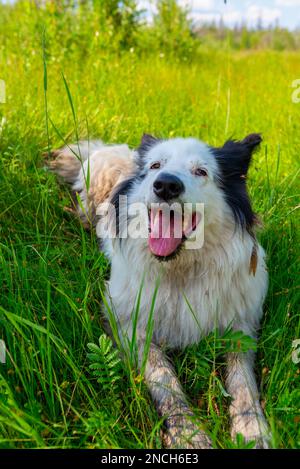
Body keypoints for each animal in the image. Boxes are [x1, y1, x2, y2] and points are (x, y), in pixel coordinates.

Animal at [48, 133, 270, 448]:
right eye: (155, 166)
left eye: (201, 171)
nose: (166, 185)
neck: (180, 270)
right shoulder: (129, 324)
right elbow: (165, 378)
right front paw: (189, 434)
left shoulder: (242, 325)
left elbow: (243, 380)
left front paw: (253, 429)